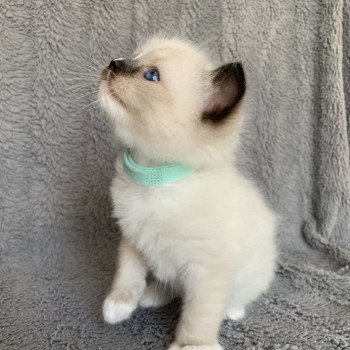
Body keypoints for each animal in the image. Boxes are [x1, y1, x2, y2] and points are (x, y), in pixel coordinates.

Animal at [98, 36, 276, 350]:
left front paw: (193, 345)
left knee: (231, 298)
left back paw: (233, 311)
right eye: (132, 57)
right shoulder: (132, 239)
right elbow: (127, 275)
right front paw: (119, 306)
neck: (156, 179)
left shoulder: (206, 272)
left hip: (250, 275)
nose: (113, 63)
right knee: (170, 287)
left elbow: (198, 316)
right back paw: (151, 296)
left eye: (151, 75)